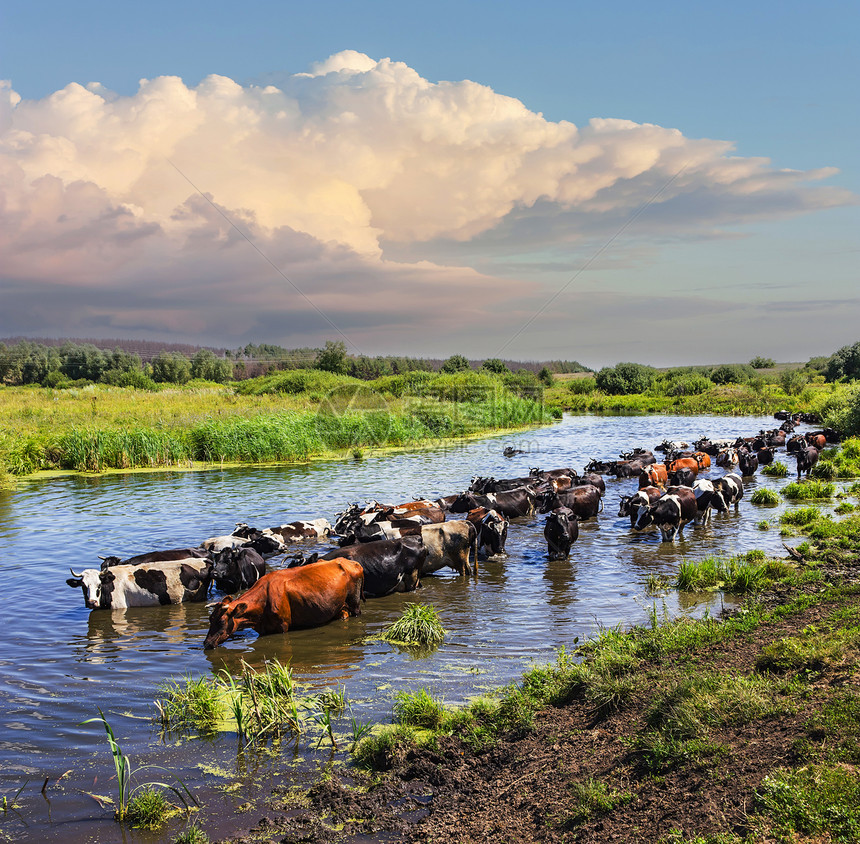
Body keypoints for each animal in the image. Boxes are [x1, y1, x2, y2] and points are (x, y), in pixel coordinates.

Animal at [202, 560, 362, 652]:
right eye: (210, 620)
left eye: (221, 621)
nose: (207, 643)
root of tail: (350, 561)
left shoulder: (282, 626)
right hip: (338, 607)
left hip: (355, 603)